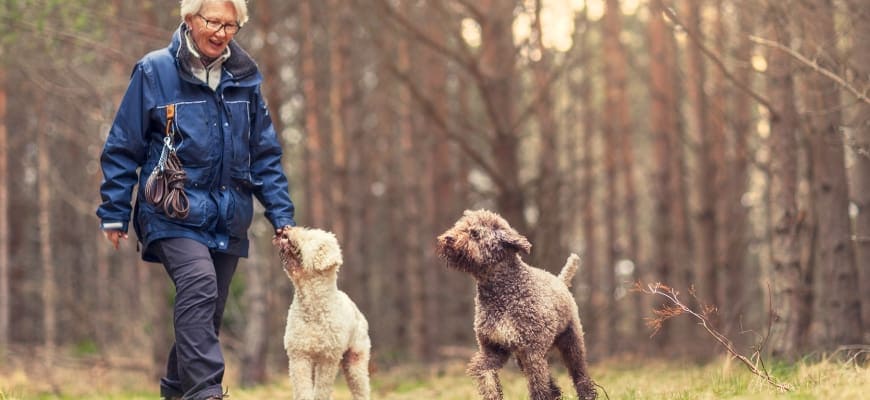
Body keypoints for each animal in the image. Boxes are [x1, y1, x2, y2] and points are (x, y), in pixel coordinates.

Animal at [276, 227, 372, 398]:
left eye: (310, 237)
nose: (287, 228)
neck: (312, 307)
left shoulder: (327, 358)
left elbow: (321, 390)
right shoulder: (299, 355)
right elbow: (303, 389)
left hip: (356, 360)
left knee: (361, 390)